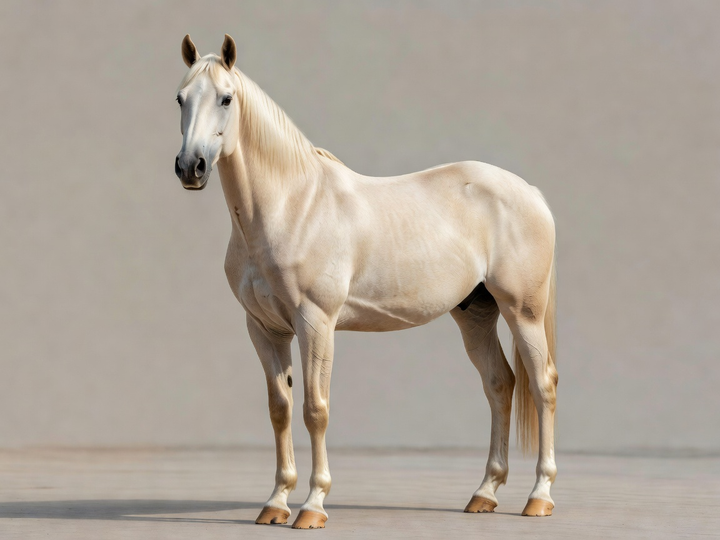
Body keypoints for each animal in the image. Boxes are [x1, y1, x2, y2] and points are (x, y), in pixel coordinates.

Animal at [173, 34, 558, 529]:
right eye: (180, 98)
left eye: (226, 98)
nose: (191, 167)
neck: (292, 205)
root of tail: (530, 192)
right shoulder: (263, 329)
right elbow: (280, 409)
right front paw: (276, 503)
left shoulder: (315, 323)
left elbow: (315, 409)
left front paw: (313, 506)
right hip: (475, 315)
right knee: (500, 384)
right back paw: (484, 493)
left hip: (523, 312)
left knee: (542, 385)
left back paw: (539, 496)